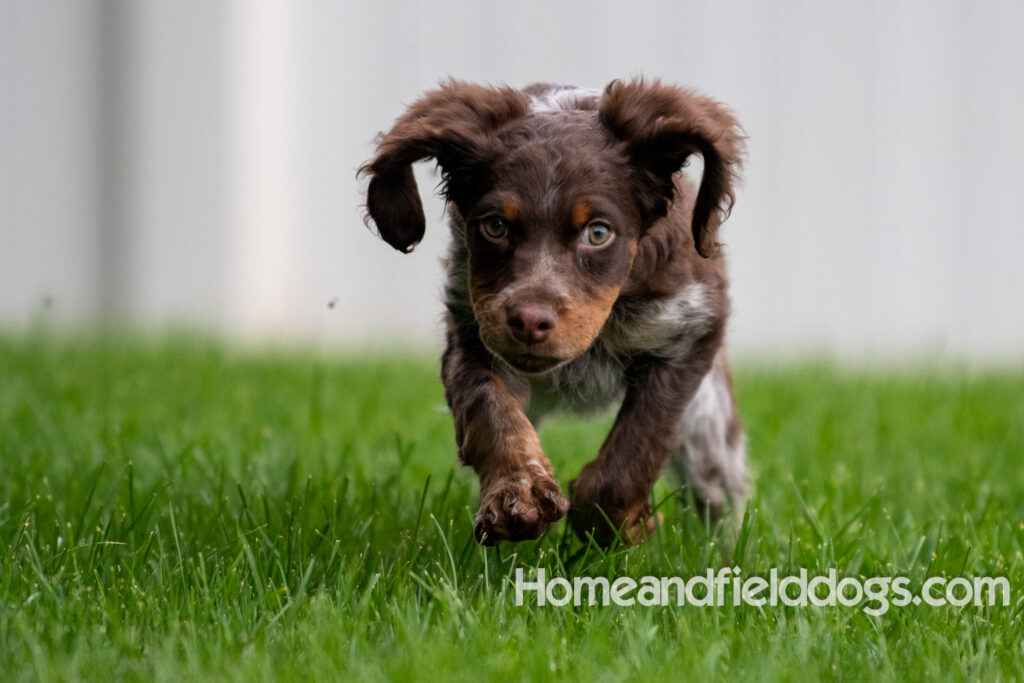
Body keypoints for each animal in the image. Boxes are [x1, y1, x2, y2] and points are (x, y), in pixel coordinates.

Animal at [364, 77, 749, 548]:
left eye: (598, 233)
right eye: (494, 226)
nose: (529, 320)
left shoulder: (688, 332)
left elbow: (641, 438)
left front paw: (611, 525)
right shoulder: (473, 332)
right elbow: (490, 411)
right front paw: (517, 493)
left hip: (708, 435)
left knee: (719, 492)